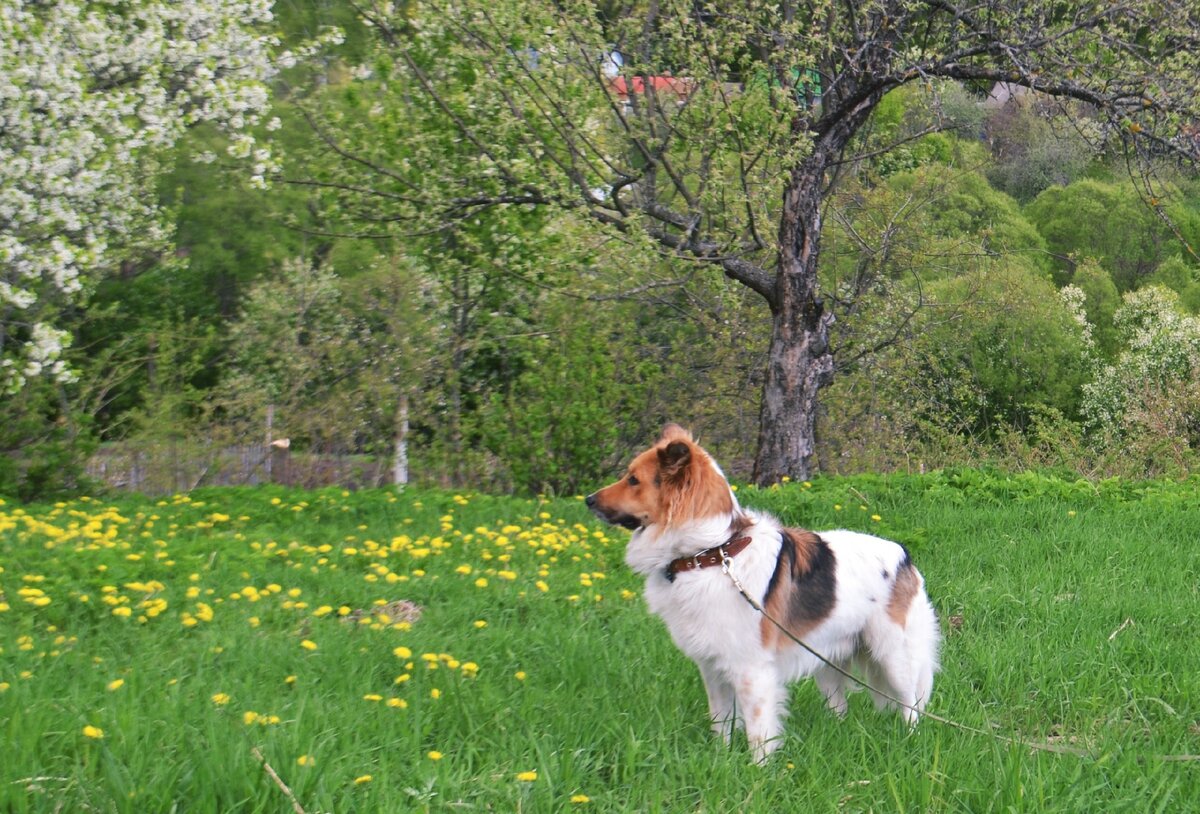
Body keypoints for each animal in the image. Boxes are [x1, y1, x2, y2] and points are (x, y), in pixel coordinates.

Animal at [585, 427, 940, 763]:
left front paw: (759, 773)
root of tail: (904, 557)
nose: (588, 499)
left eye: (633, 479)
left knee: (912, 704)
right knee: (840, 707)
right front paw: (721, 761)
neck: (711, 552)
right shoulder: (712, 667)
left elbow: (758, 732)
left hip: (894, 656)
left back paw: (911, 743)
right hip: (828, 659)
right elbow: (720, 721)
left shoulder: (751, 671)